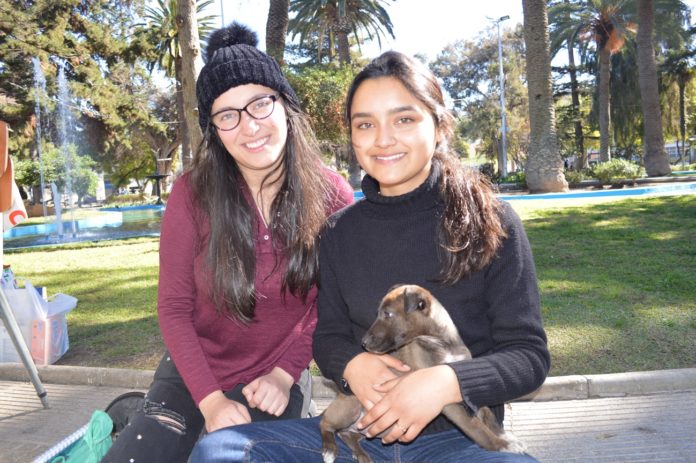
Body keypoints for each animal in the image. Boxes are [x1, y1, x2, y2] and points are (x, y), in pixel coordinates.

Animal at [318, 284, 524, 462]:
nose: (364, 343)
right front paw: (501, 445)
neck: (442, 343)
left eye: (387, 314)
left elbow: (486, 412)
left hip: (365, 428)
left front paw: (505, 436)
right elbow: (475, 426)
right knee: (325, 423)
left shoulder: (461, 382)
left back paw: (361, 455)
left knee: (346, 434)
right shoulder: (446, 401)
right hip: (351, 406)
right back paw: (329, 450)